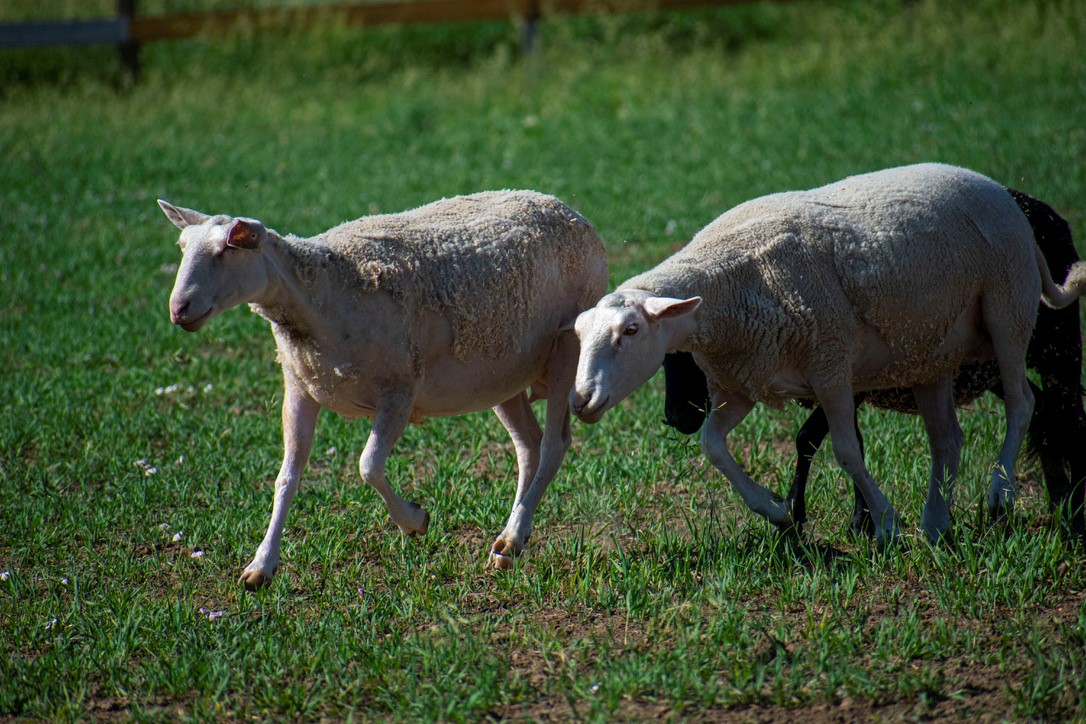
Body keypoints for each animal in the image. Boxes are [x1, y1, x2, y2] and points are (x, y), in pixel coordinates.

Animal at [158, 189, 612, 586]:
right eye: (180, 247)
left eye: (227, 249)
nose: (178, 310)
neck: (321, 293)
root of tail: (567, 208)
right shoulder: (299, 390)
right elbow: (286, 478)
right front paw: (260, 566)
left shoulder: (399, 391)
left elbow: (368, 465)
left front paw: (415, 521)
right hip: (501, 375)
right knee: (528, 445)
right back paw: (508, 543)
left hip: (566, 350)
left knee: (553, 443)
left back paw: (514, 536)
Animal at [564, 163, 1086, 542]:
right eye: (579, 334)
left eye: (631, 330)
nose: (580, 400)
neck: (726, 281)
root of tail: (1003, 195)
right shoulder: (746, 380)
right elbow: (712, 446)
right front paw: (775, 512)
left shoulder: (831, 367)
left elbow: (846, 451)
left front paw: (883, 523)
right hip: (930, 354)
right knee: (948, 439)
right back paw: (937, 522)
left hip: (1009, 310)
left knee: (1026, 404)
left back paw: (1001, 493)